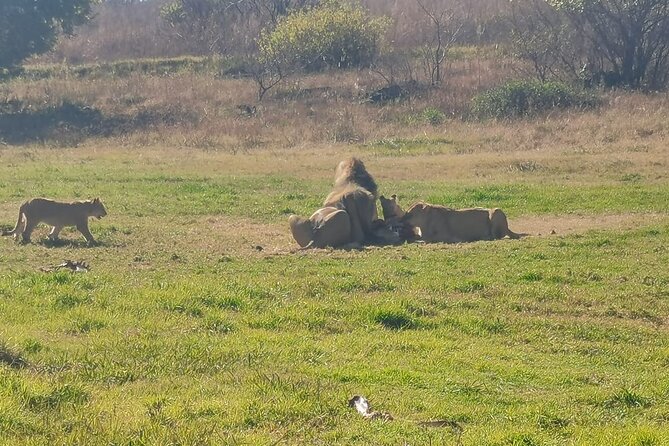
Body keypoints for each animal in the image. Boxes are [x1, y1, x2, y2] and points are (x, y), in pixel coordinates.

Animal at [380, 194, 524, 243]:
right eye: (406, 212)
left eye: (409, 214)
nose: (400, 221)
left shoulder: (444, 237)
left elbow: (421, 239)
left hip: (496, 211)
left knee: (497, 236)